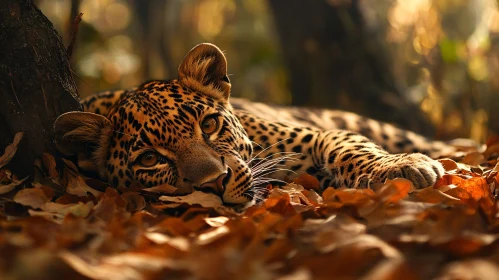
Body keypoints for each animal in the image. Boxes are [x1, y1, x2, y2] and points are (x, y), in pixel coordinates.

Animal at [54, 42, 450, 207]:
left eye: (209, 125)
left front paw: (403, 167)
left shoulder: (316, 134)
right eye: (150, 160)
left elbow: (348, 146)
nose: (215, 182)